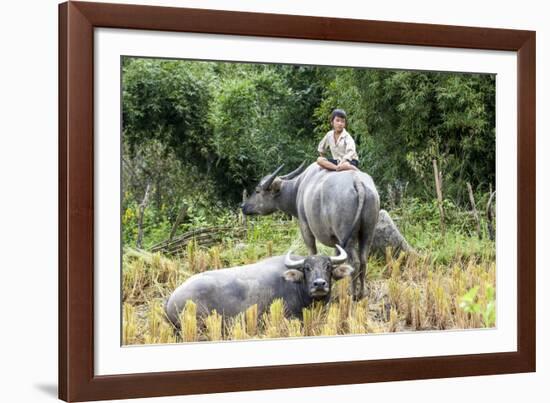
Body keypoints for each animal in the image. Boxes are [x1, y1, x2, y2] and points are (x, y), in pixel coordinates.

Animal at [244, 163, 382, 300]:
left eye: (257, 191)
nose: (243, 206)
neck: (298, 189)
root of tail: (357, 182)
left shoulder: (305, 226)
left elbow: (312, 251)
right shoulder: (336, 241)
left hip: (347, 237)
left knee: (355, 263)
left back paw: (353, 295)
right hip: (367, 233)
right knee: (363, 261)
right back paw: (362, 293)